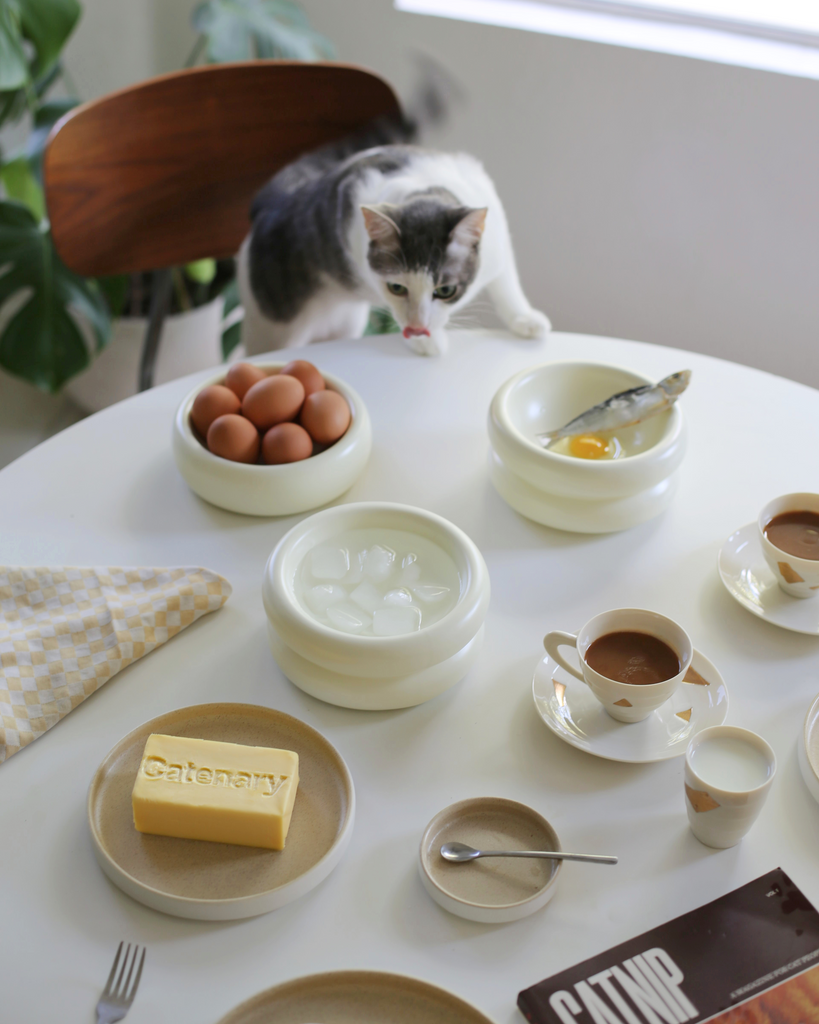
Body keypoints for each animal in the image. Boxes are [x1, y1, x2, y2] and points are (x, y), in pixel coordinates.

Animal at [238, 136, 548, 360]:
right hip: (270, 324)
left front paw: (525, 318)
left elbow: (507, 283)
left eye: (446, 290)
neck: (423, 186)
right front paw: (427, 342)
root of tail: (270, 203)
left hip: (345, 322)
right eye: (396, 288)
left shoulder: (497, 236)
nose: (417, 328)